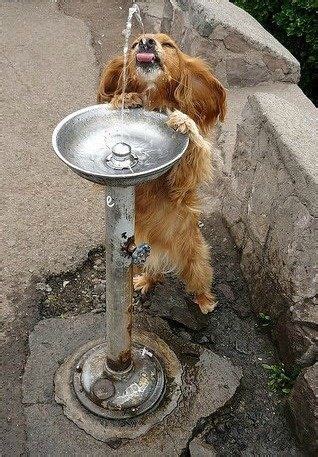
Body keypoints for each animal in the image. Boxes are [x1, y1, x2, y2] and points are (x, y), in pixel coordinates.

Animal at [97, 33, 226, 314]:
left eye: (168, 45)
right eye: (134, 43)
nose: (146, 42)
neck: (153, 99)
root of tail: (162, 247)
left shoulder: (180, 180)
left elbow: (193, 151)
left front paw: (184, 122)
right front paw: (123, 98)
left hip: (193, 255)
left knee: (199, 277)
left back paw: (205, 301)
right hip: (146, 252)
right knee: (154, 270)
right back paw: (146, 280)